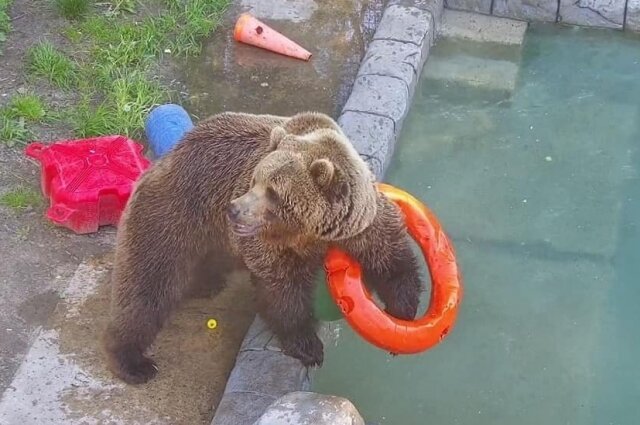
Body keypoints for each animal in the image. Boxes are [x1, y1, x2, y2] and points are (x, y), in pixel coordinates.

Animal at [102, 111, 422, 382]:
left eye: (273, 192)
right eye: (255, 180)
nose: (234, 209)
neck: (308, 232)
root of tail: (164, 160)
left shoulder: (360, 223)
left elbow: (390, 256)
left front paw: (402, 314)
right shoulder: (271, 247)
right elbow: (282, 290)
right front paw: (307, 345)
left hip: (212, 233)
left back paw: (206, 283)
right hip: (172, 213)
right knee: (147, 284)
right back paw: (134, 361)